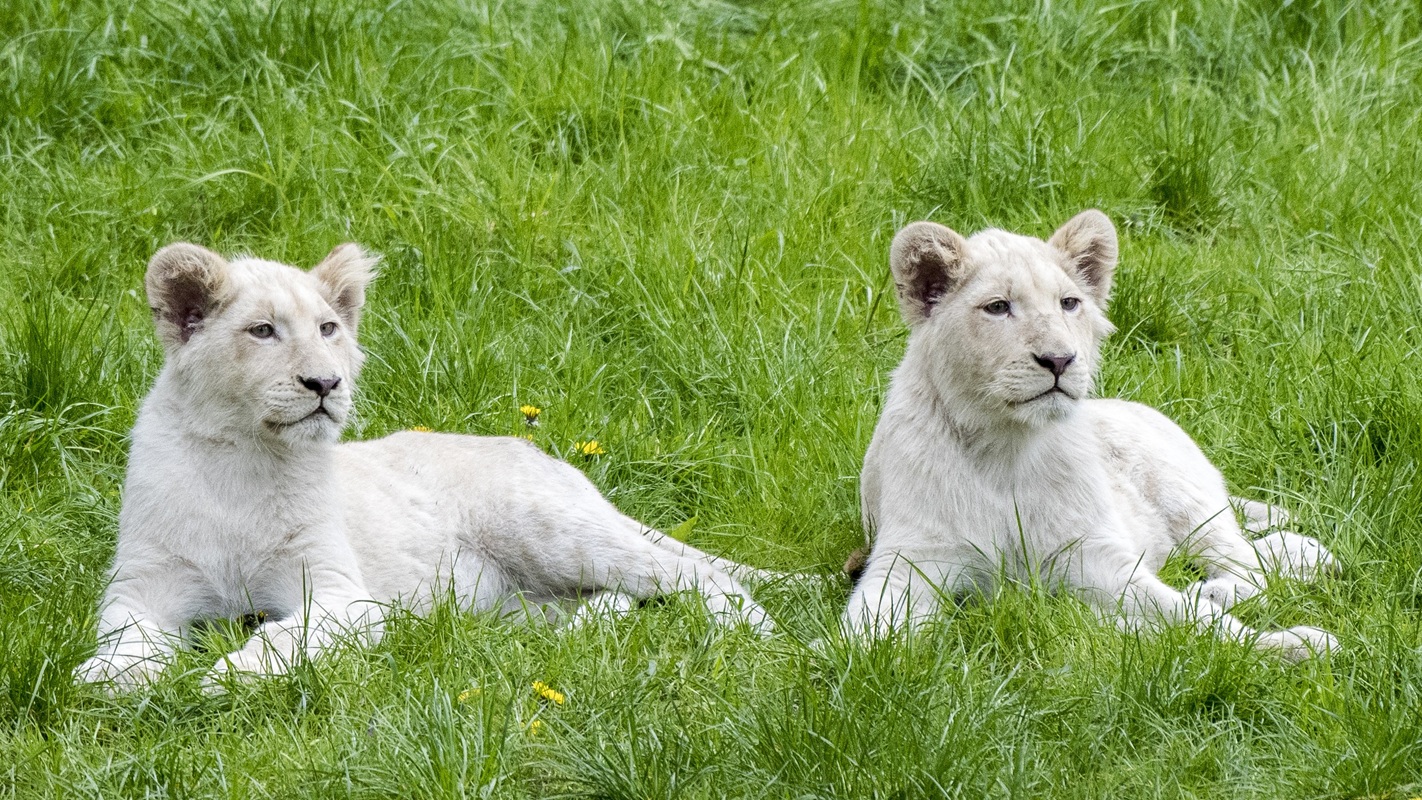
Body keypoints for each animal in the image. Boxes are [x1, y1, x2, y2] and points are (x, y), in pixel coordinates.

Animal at [76, 242, 776, 689]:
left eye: (328, 328)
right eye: (262, 331)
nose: (326, 383)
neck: (243, 460)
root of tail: (539, 453)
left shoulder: (343, 594)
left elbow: (285, 636)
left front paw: (231, 674)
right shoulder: (143, 584)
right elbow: (122, 639)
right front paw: (108, 677)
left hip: (547, 527)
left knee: (695, 573)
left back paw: (763, 637)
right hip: (517, 600)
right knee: (609, 600)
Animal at [843, 210, 1339, 660]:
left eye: (1069, 303)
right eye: (998, 307)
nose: (1060, 360)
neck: (1006, 446)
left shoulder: (1094, 555)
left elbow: (1189, 617)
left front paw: (1296, 645)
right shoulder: (913, 560)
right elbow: (865, 631)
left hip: (1189, 501)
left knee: (1253, 564)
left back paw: (1216, 590)